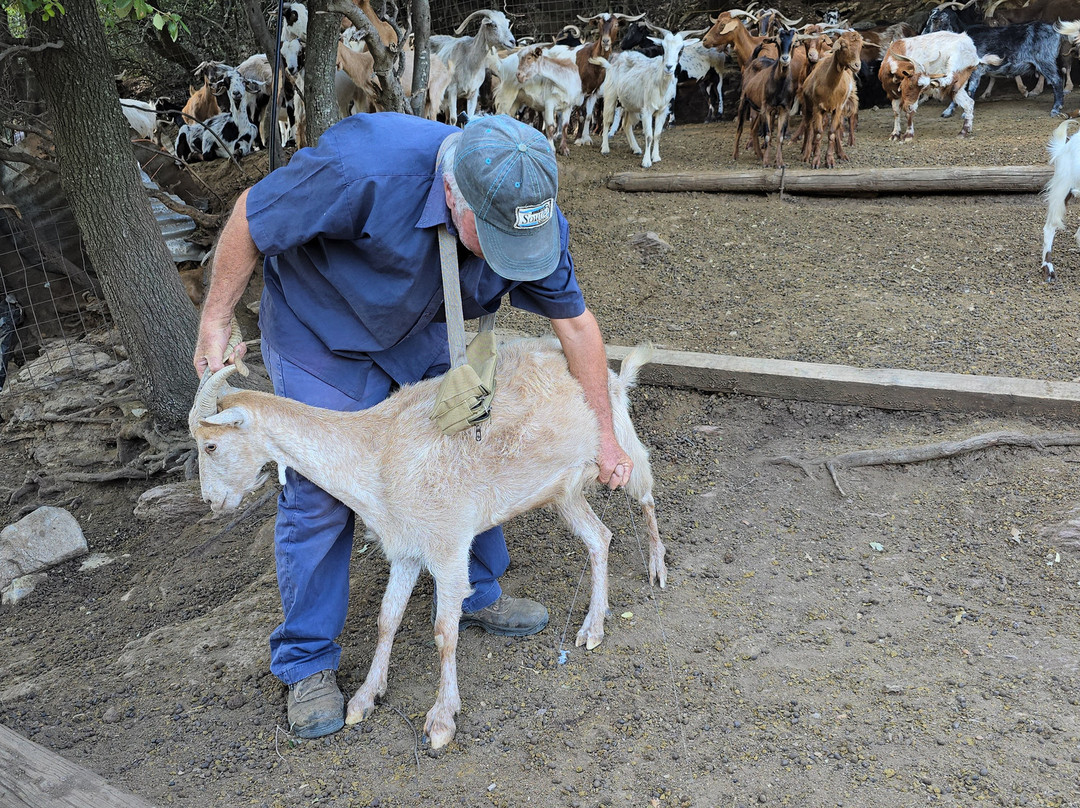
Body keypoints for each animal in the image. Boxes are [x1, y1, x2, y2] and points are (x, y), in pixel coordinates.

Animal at [597, 26, 702, 168]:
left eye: (681, 50)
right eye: (663, 48)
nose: (669, 67)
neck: (661, 85)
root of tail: (617, 58)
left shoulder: (663, 110)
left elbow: (657, 134)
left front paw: (656, 157)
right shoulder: (647, 110)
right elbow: (649, 136)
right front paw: (646, 162)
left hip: (631, 105)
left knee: (626, 124)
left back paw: (636, 149)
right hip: (611, 95)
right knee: (607, 120)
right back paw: (605, 148)